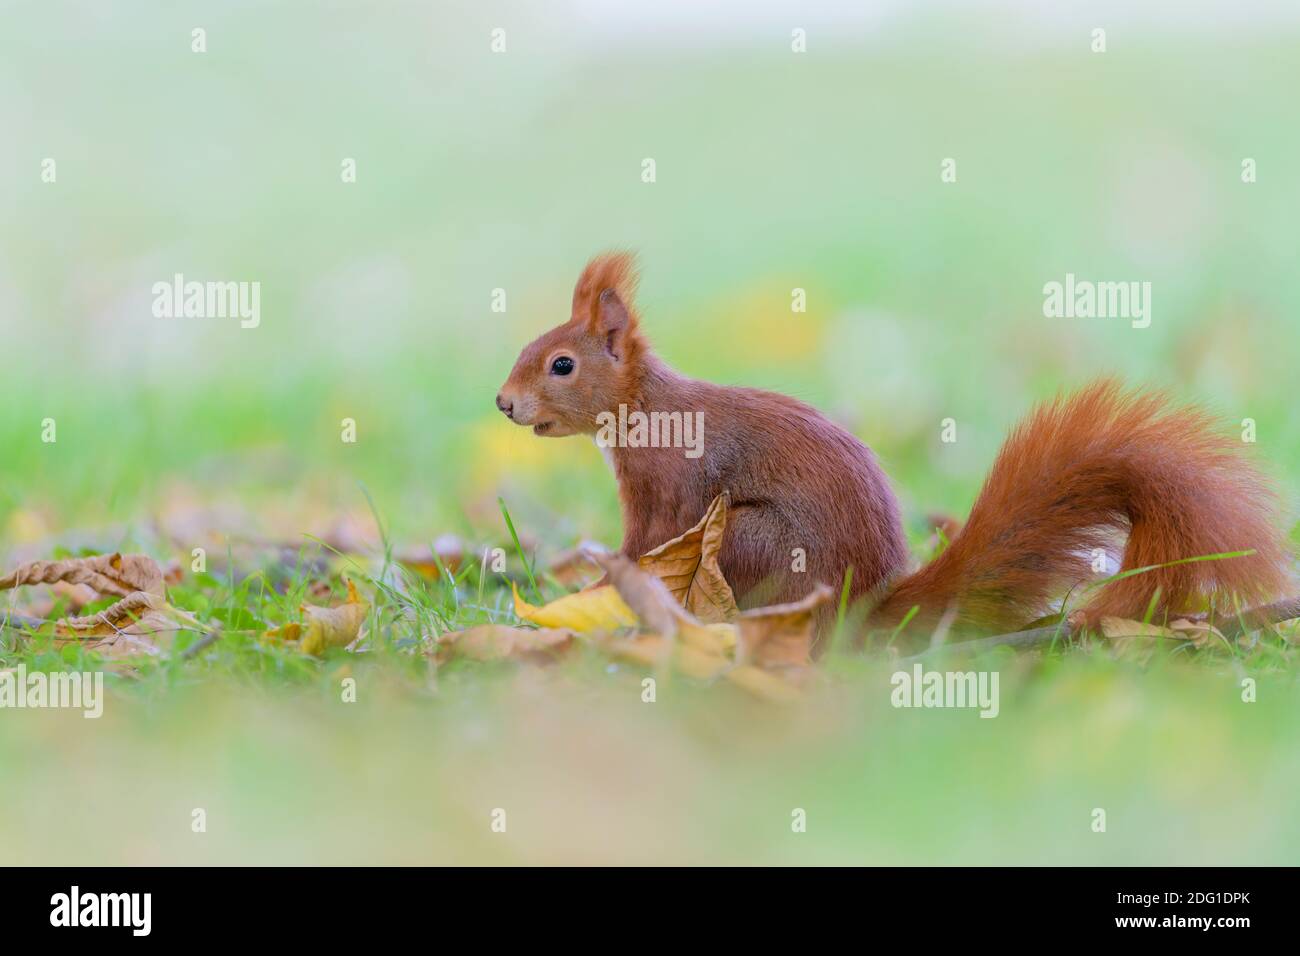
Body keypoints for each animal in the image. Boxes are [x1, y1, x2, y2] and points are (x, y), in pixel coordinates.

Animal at [497, 252, 1292, 649]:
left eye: (561, 364)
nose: (503, 404)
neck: (644, 409)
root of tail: (863, 609)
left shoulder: (667, 487)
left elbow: (648, 541)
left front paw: (599, 582)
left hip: (756, 541)